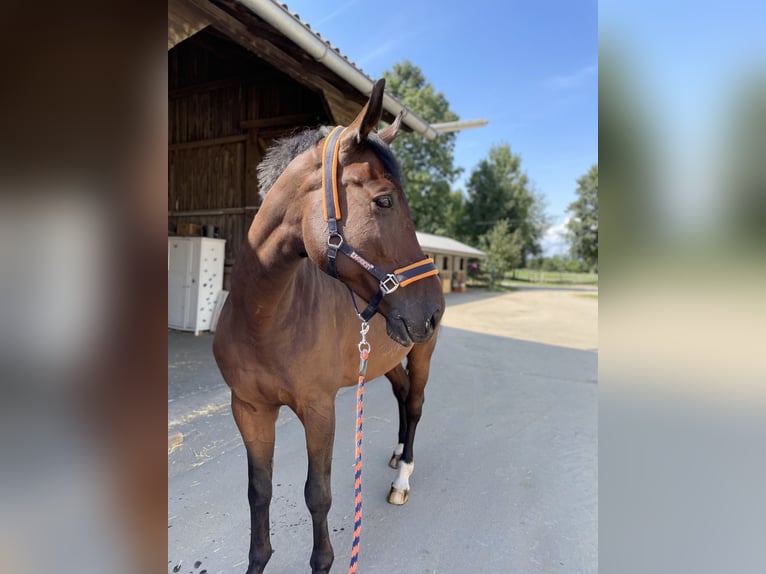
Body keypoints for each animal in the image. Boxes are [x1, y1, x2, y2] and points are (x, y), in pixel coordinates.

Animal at [213, 77, 448, 574]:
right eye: (384, 200)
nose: (432, 309)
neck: (265, 320)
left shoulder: (319, 410)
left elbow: (316, 494)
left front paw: (322, 563)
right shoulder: (249, 409)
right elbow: (258, 491)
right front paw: (257, 561)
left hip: (421, 351)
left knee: (416, 404)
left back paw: (402, 478)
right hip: (388, 355)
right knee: (402, 398)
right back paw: (396, 453)